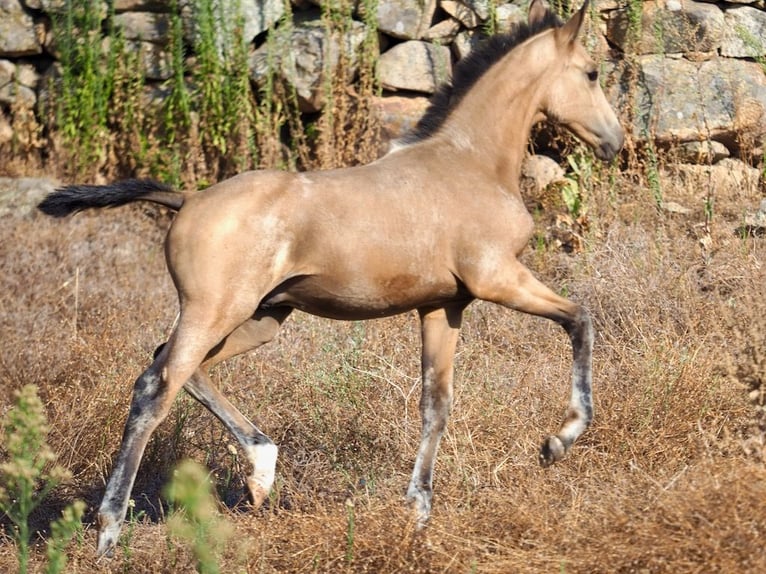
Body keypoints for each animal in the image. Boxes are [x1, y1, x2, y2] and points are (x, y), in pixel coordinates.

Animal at [38, 0, 623, 556]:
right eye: (592, 72)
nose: (614, 141)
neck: (470, 164)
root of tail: (187, 198)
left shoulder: (444, 306)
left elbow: (435, 405)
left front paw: (418, 514)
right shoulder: (498, 278)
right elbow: (581, 320)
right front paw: (558, 441)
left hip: (262, 318)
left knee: (177, 367)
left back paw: (261, 473)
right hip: (214, 311)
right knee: (155, 387)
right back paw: (110, 530)